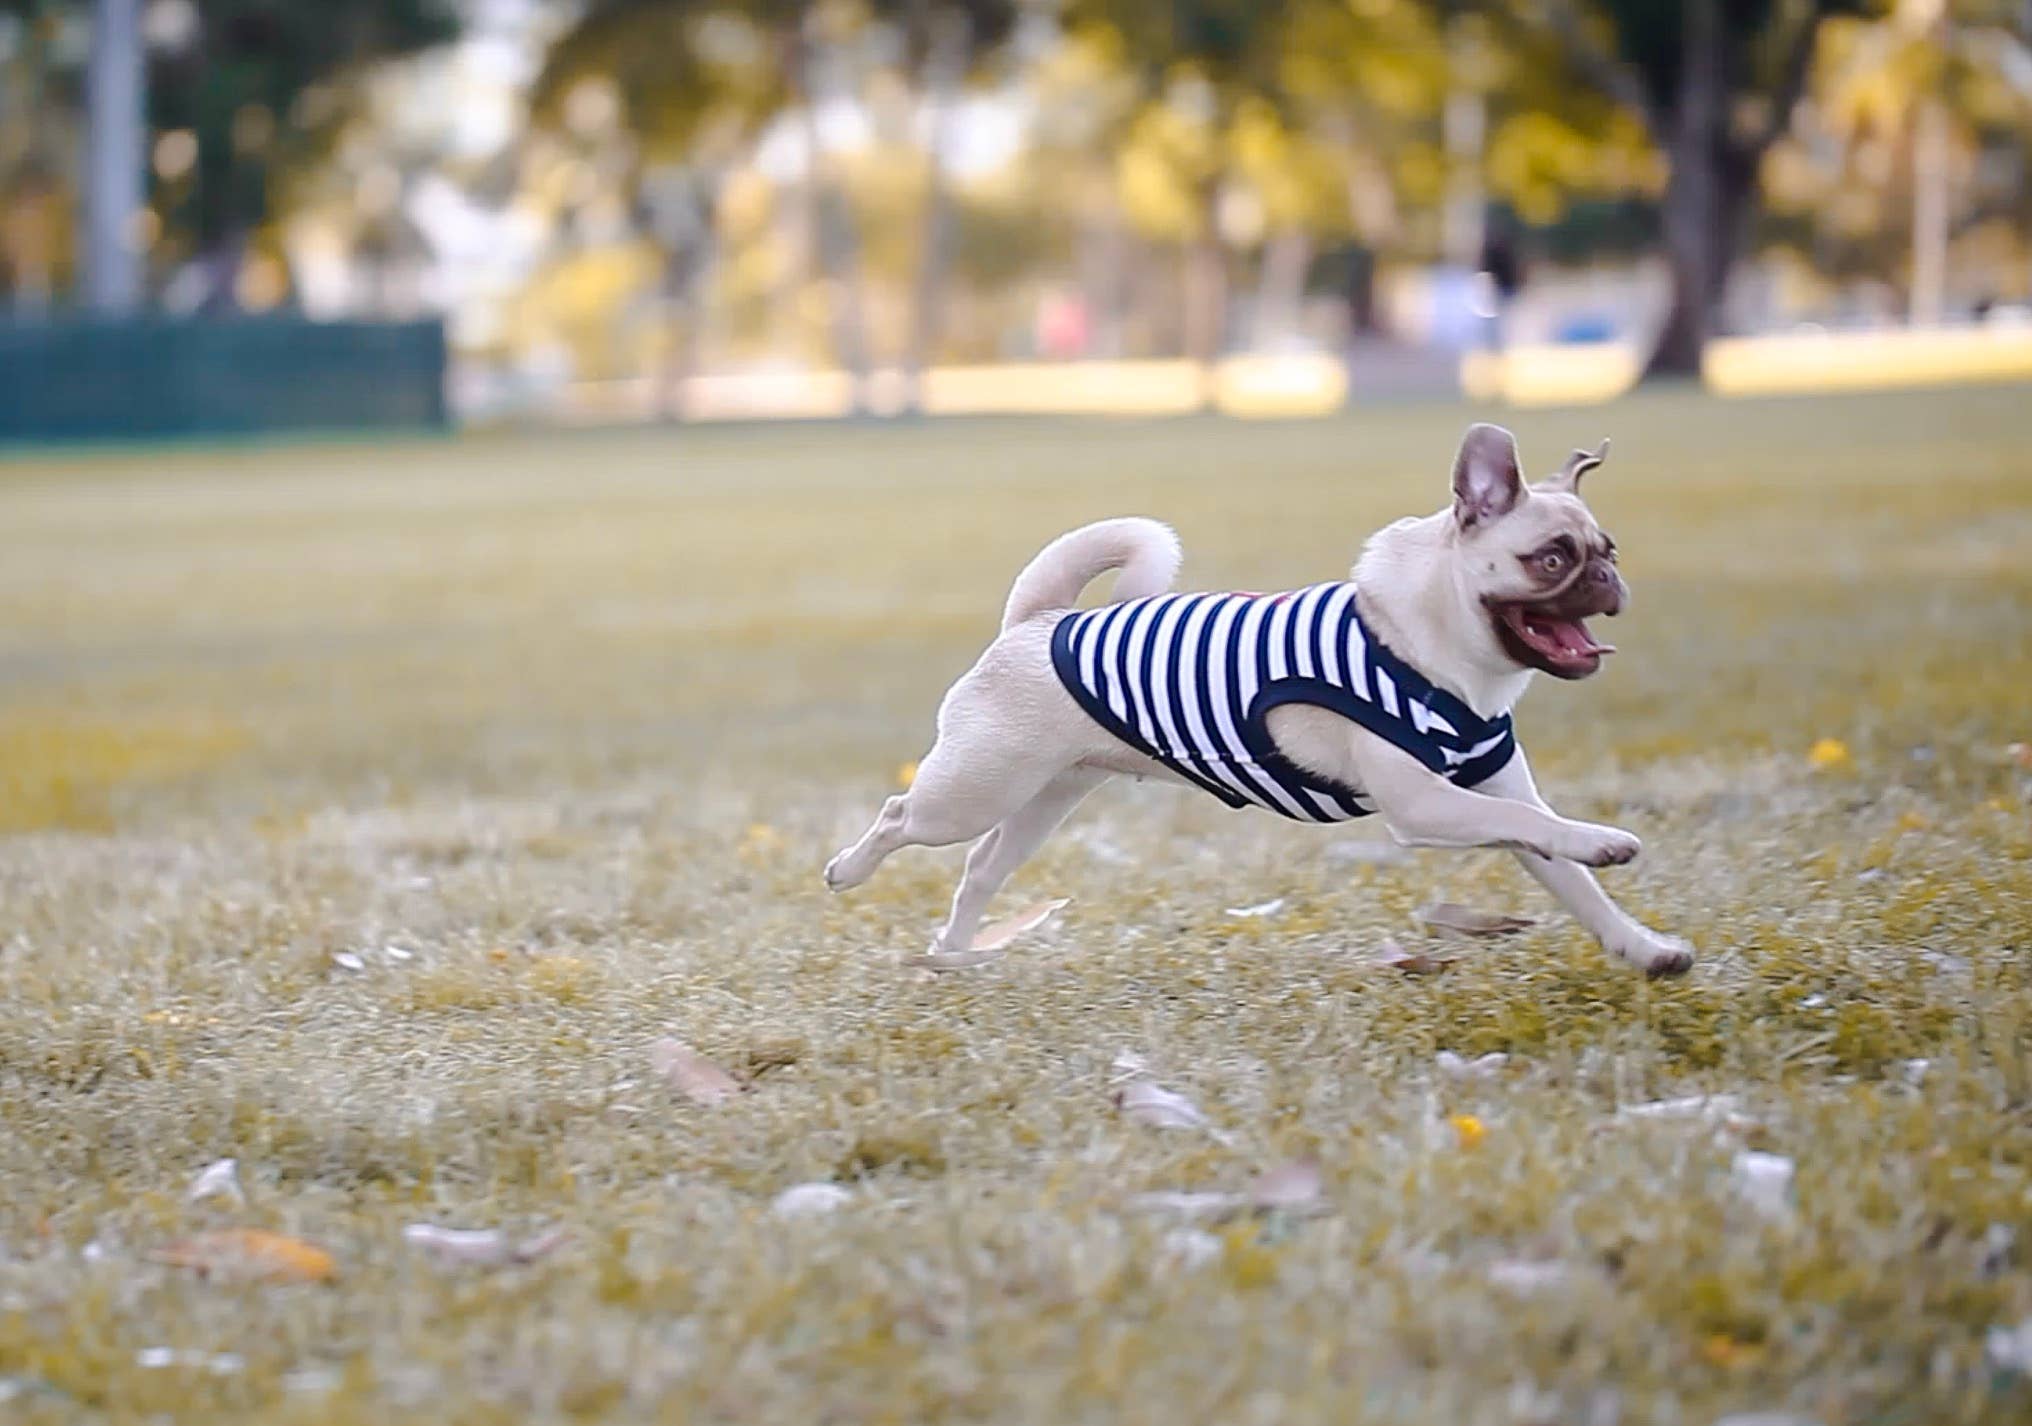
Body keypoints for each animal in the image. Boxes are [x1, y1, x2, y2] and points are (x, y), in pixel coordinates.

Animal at [824, 422, 1698, 983]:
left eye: (1609, 550)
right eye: (1551, 559)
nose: (1607, 579)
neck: (1434, 644)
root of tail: (1039, 621)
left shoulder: (1491, 795)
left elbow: (1565, 869)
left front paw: (1641, 948)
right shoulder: (1425, 805)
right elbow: (1528, 823)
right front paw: (1604, 839)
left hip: (1044, 798)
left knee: (980, 868)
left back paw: (953, 953)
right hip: (971, 789)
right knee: (902, 816)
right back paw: (849, 870)